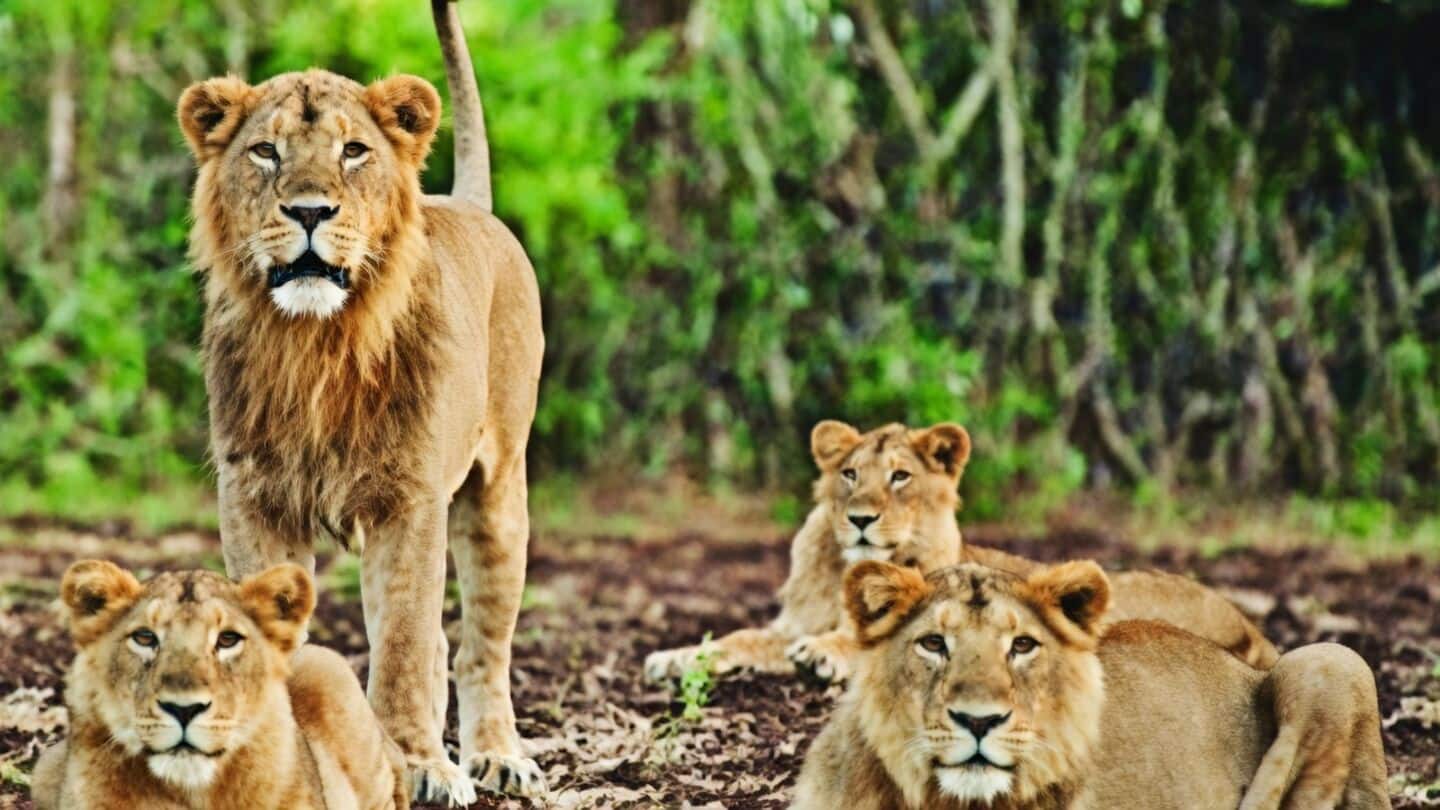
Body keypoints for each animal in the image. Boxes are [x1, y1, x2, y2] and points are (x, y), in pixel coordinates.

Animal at [175, 1, 543, 801]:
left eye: (352, 151)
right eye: (265, 153)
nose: (310, 211)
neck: (316, 345)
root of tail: (471, 204)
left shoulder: (410, 502)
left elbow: (404, 642)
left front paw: (419, 766)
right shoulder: (255, 499)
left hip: (498, 494)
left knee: (479, 646)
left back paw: (496, 757)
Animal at [645, 420, 1276, 685]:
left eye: (899, 476)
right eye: (849, 474)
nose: (860, 518)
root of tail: (1247, 622)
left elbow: (853, 639)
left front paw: (822, 655)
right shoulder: (788, 622)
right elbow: (737, 639)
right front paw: (673, 658)